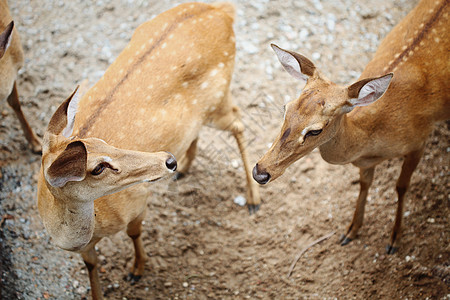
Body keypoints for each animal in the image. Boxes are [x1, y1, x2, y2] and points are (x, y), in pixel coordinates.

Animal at [37, 1, 260, 298]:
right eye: (97, 167)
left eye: (103, 145)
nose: (168, 160)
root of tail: (222, 10)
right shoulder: (85, 249)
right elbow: (92, 266)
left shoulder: (136, 201)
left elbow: (134, 233)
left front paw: (137, 269)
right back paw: (186, 168)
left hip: (219, 97)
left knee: (238, 121)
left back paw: (253, 199)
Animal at [253, 0, 450, 254]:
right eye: (286, 108)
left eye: (315, 130)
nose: (260, 172)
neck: (373, 140)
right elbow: (364, 184)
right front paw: (351, 231)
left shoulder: (419, 140)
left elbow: (401, 186)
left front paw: (395, 238)